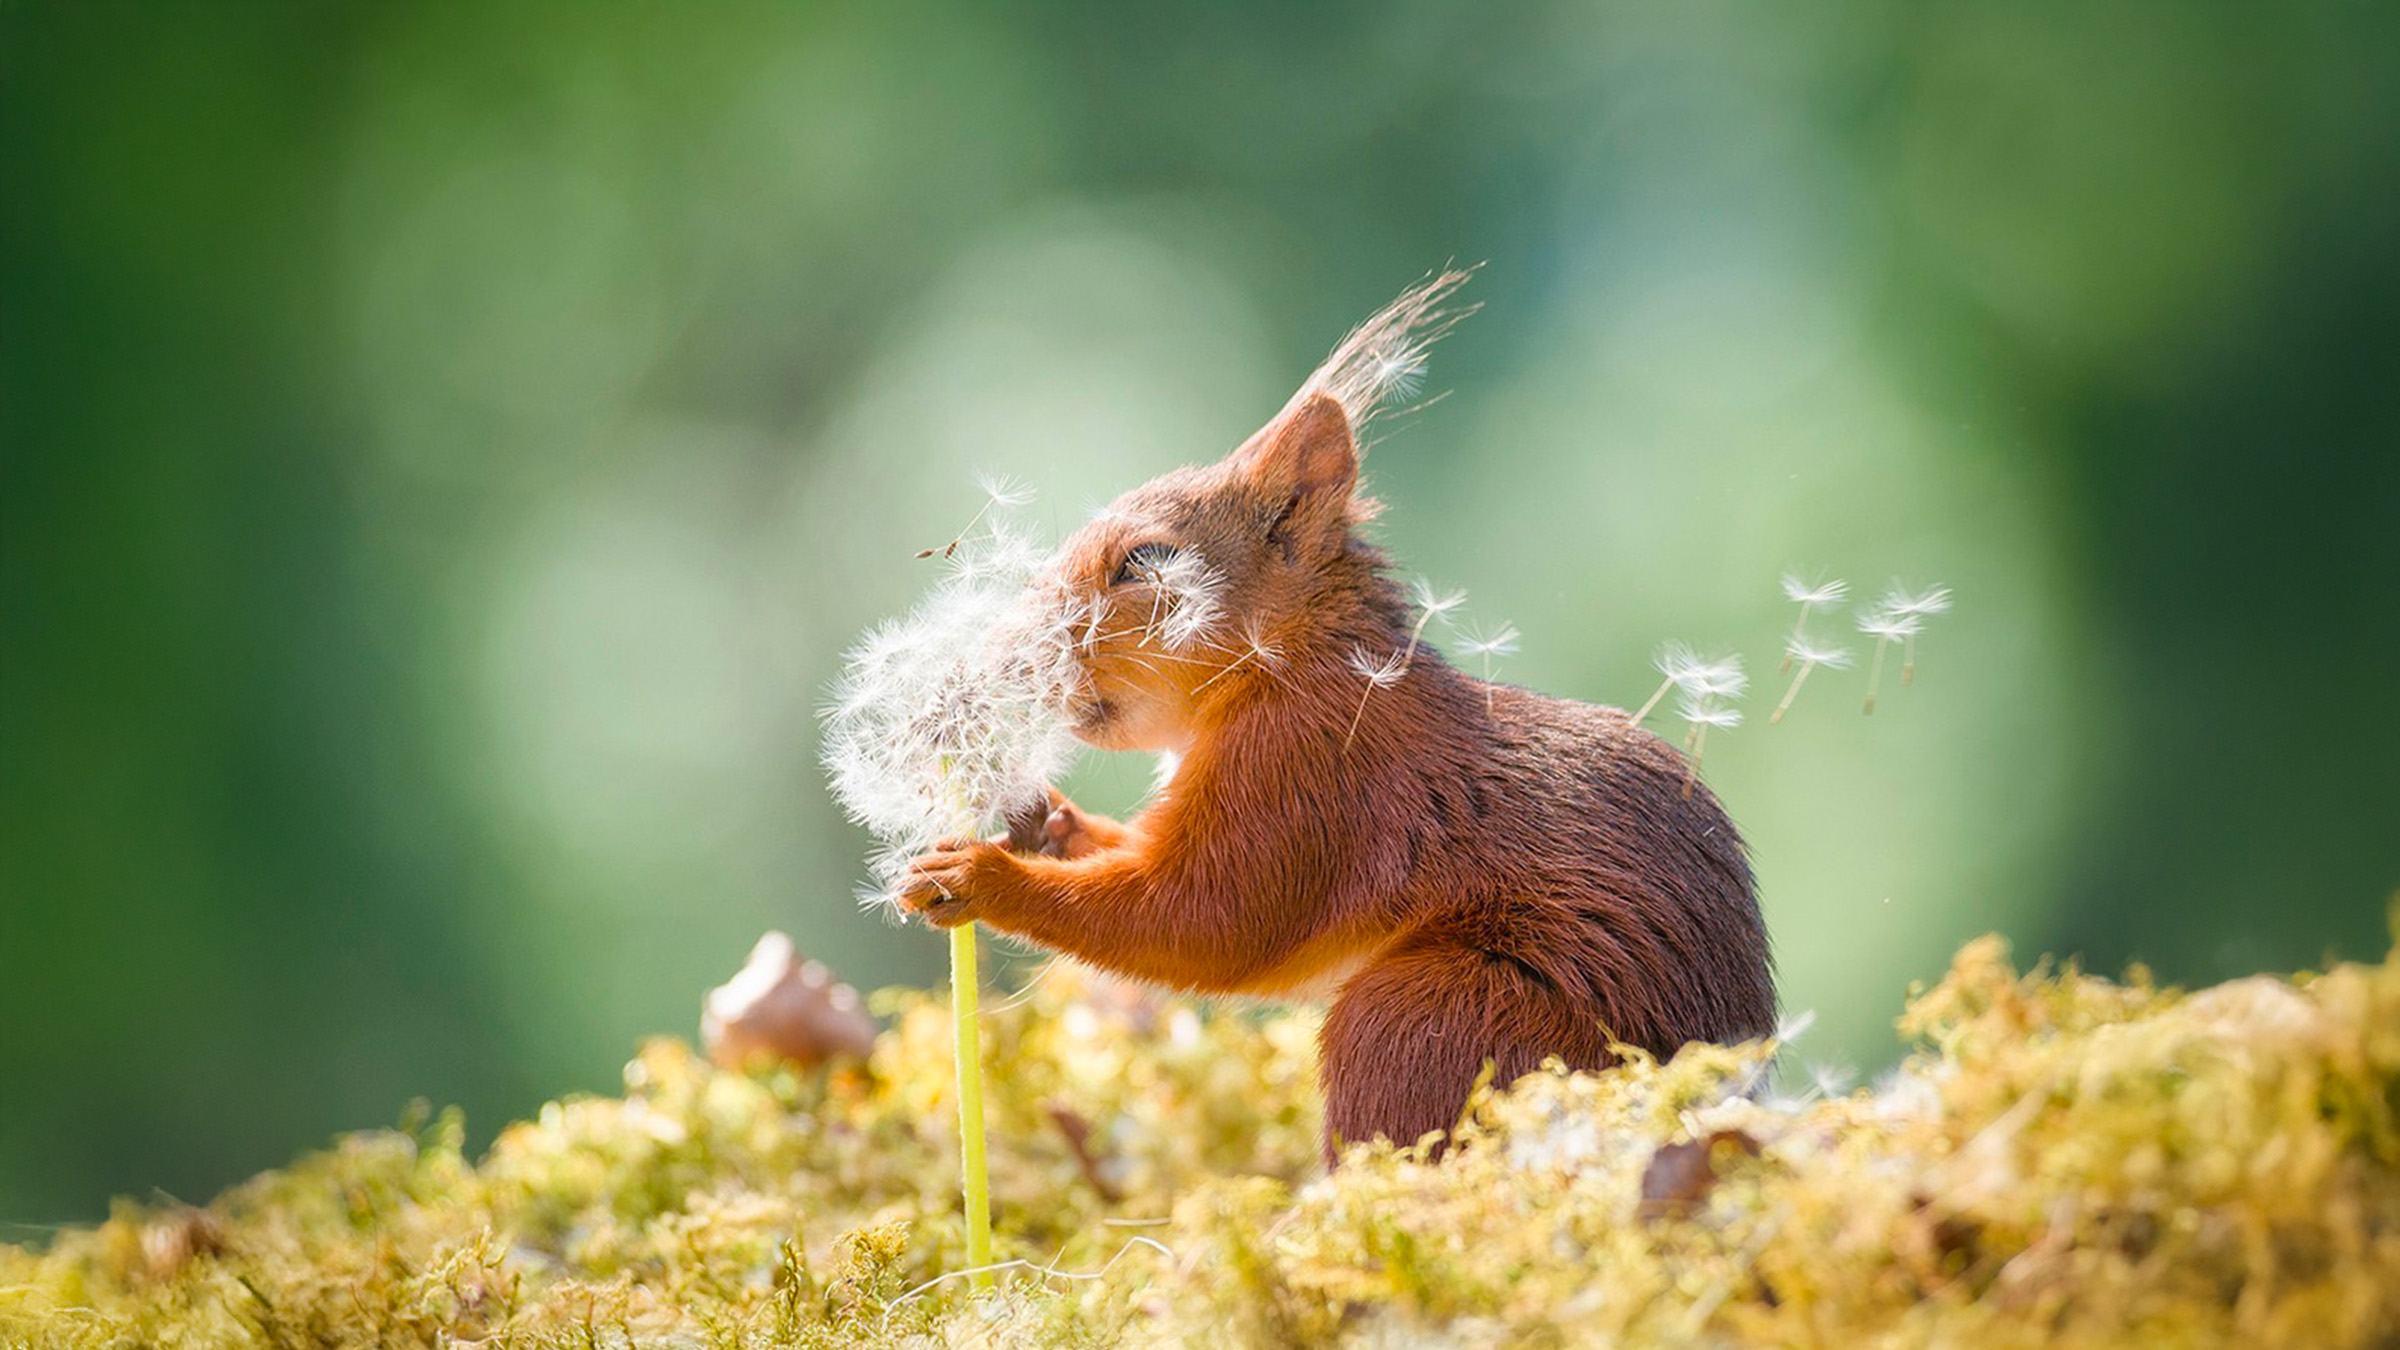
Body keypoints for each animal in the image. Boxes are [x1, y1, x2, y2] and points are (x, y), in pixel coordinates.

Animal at [902, 276, 1766, 1157]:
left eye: (1145, 562)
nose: (1005, 655)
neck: (1287, 667)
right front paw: (1047, 822)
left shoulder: (1309, 771)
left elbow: (1205, 920)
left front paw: (981, 878)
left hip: (1431, 1015)